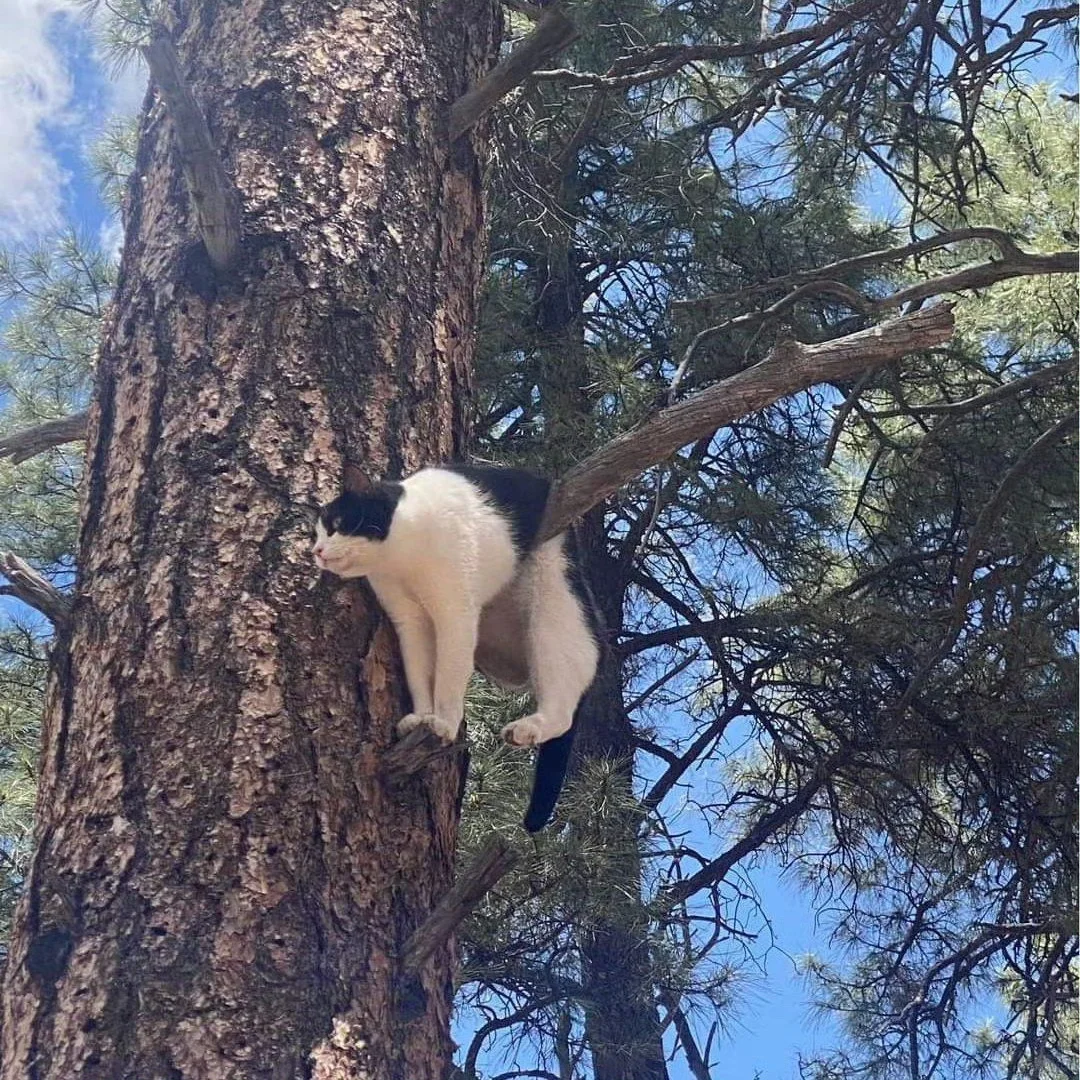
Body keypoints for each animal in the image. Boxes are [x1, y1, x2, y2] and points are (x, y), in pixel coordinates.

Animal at [313, 460, 604, 829]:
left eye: (336, 525)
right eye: (318, 532)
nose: (316, 552)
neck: (402, 557)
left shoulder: (456, 614)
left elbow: (449, 678)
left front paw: (445, 724)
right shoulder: (410, 622)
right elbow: (420, 673)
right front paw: (422, 717)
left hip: (553, 604)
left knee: (566, 701)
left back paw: (528, 728)